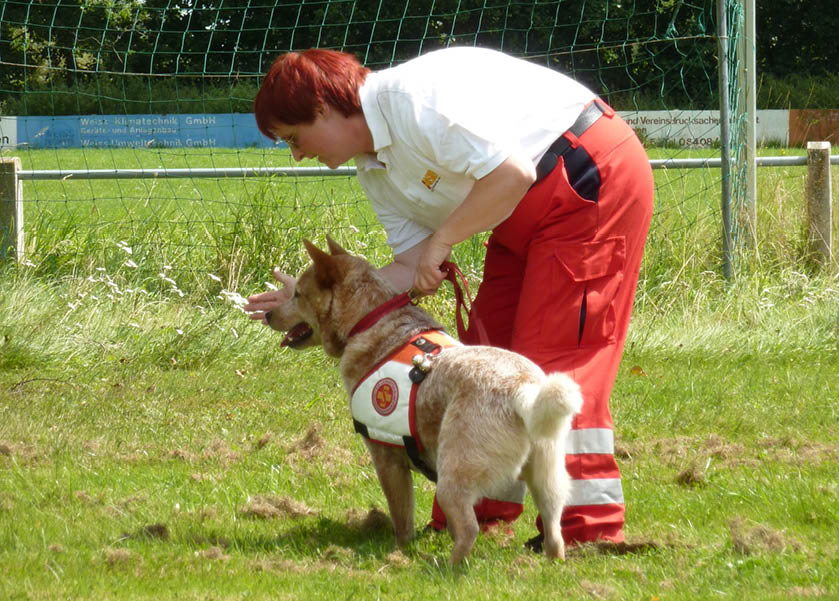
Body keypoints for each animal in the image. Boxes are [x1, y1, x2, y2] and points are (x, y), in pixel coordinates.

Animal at [266, 238, 580, 564]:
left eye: (298, 294)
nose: (267, 314)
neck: (369, 320)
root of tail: (524, 390)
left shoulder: (387, 458)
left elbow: (402, 518)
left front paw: (400, 552)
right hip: (547, 477)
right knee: (554, 529)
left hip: (453, 476)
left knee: (469, 528)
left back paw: (446, 568)